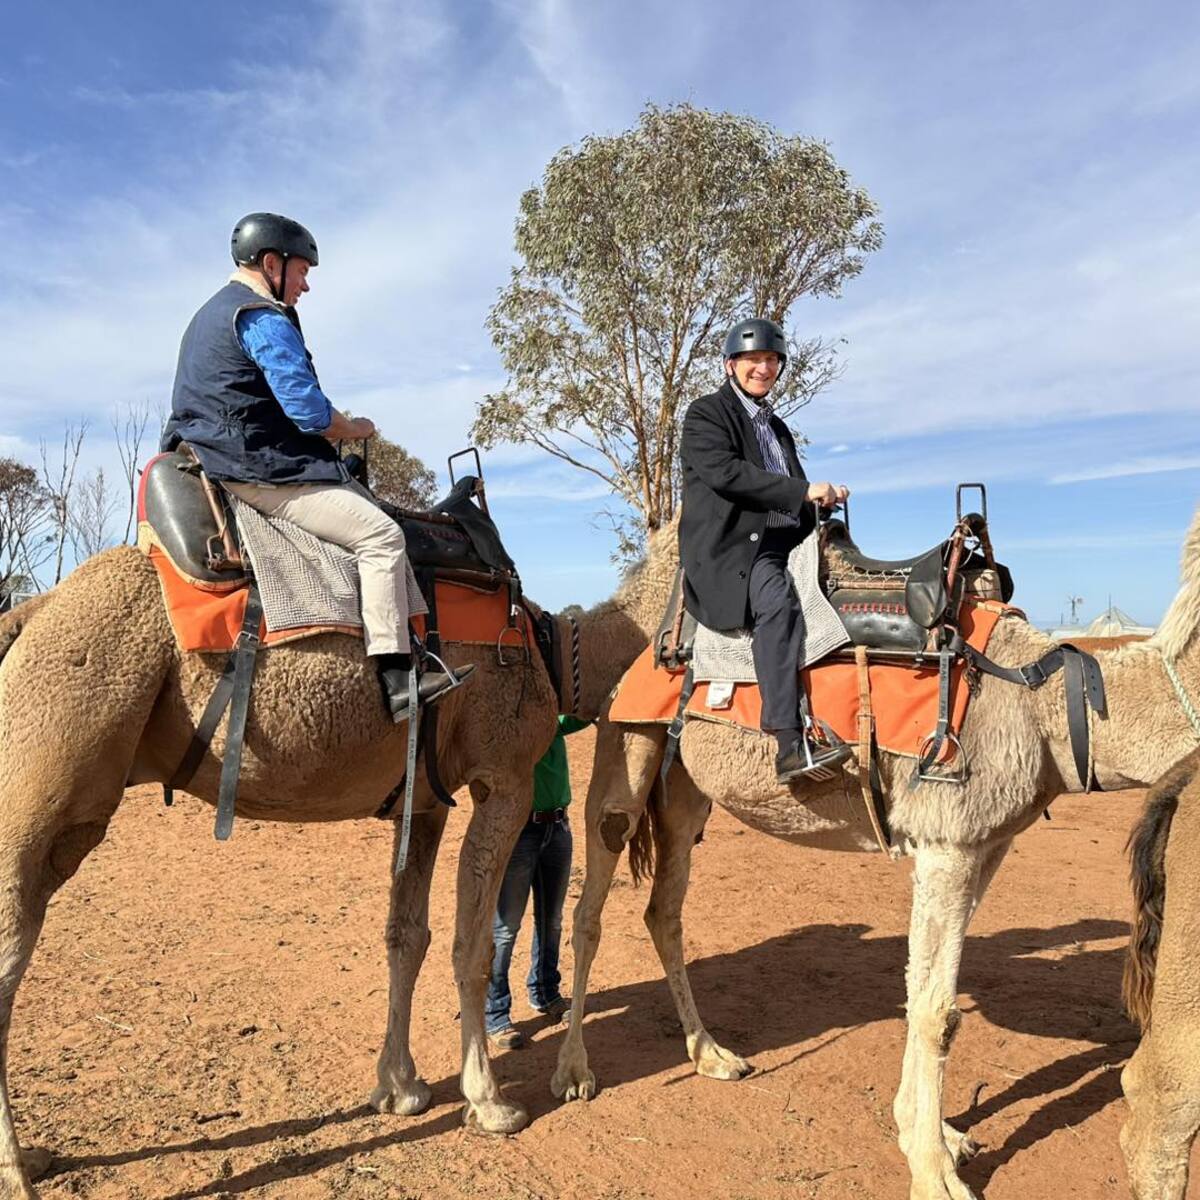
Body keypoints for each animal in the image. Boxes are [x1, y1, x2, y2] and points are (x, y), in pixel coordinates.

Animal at [0, 529, 669, 1200]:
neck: (555, 654)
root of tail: (34, 613)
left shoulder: (425, 801)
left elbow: (407, 936)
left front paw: (400, 1088)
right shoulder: (504, 780)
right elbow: (472, 946)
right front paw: (490, 1103)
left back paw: (33, 1158)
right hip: (52, 777)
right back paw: (19, 1171)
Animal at [552, 504, 1200, 1200]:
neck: (1047, 705)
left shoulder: (982, 844)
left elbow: (921, 990)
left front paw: (936, 1136)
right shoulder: (947, 841)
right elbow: (939, 1012)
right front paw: (934, 1173)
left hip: (686, 790)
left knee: (663, 911)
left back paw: (711, 1055)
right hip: (627, 740)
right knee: (590, 902)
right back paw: (574, 1071)